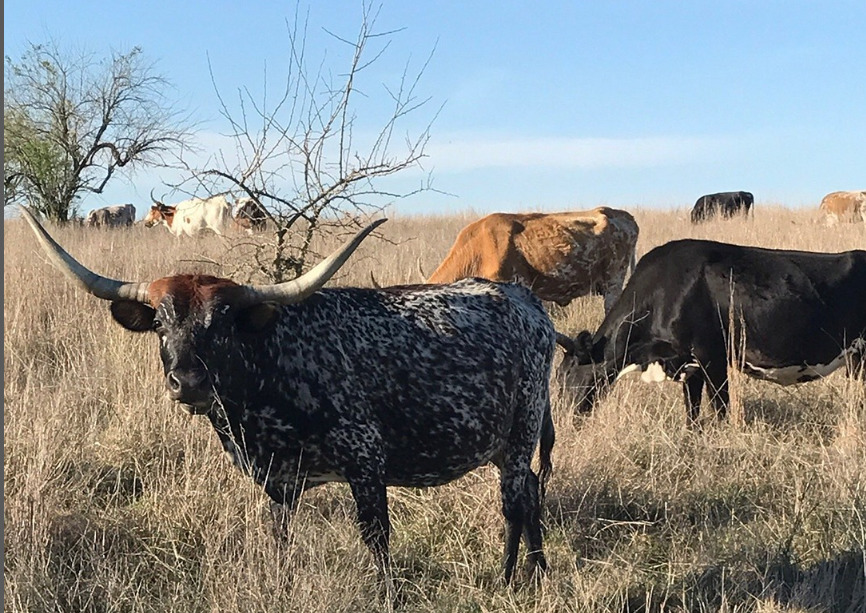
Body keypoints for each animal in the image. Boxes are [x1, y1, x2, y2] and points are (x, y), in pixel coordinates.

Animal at [23, 208, 560, 592]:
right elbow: (280, 540)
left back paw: (510, 579)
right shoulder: (277, 481)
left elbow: (377, 538)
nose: (189, 382)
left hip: (520, 431)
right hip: (499, 442)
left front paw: (388, 595)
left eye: (224, 324)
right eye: (159, 322)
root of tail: (524, 300)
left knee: (515, 501)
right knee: (532, 492)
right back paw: (538, 572)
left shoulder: (366, 460)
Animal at [552, 239, 864, 426]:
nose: (563, 417)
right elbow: (692, 411)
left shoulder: (713, 358)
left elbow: (720, 408)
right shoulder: (689, 365)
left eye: (567, 375)